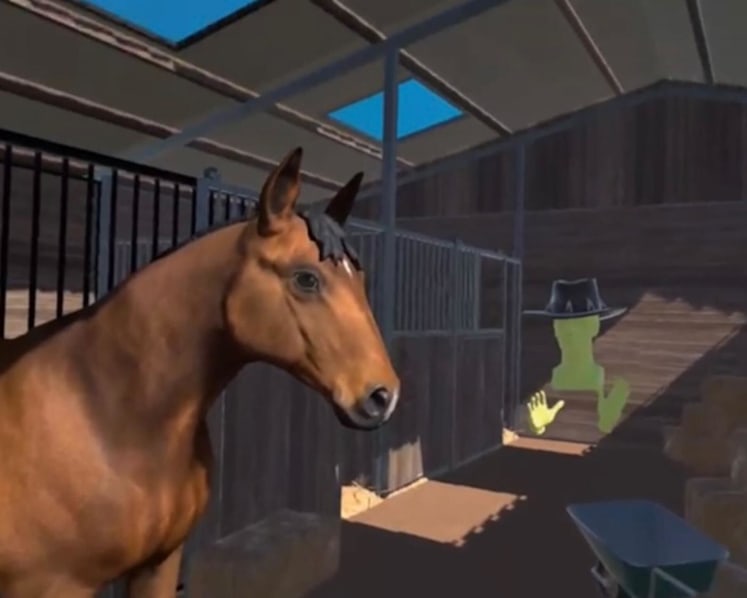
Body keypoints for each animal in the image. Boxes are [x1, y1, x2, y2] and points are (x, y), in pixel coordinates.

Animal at [0, 147, 400, 598]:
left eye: (359, 277)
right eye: (306, 278)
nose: (384, 396)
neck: (106, 411)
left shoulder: (159, 564)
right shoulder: (56, 585)